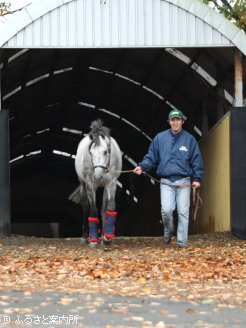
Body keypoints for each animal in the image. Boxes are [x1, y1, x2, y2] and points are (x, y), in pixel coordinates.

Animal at [68, 118, 122, 246]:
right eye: (91, 153)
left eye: (105, 152)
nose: (97, 176)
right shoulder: (90, 185)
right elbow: (93, 209)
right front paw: (93, 240)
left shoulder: (111, 184)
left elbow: (109, 207)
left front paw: (107, 238)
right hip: (83, 185)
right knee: (86, 207)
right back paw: (84, 237)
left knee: (103, 209)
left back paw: (102, 236)